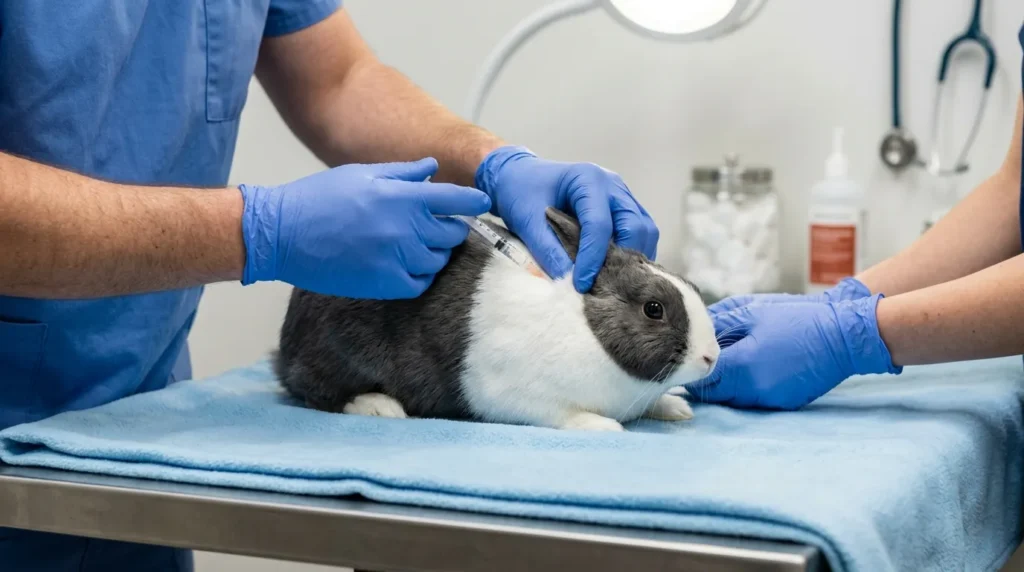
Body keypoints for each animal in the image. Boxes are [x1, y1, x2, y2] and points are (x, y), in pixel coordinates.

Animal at [273, 207, 720, 432]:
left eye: (690, 285)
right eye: (653, 308)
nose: (711, 357)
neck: (587, 328)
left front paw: (675, 407)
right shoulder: (518, 395)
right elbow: (562, 415)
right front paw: (603, 427)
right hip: (335, 349)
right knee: (314, 390)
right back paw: (379, 406)